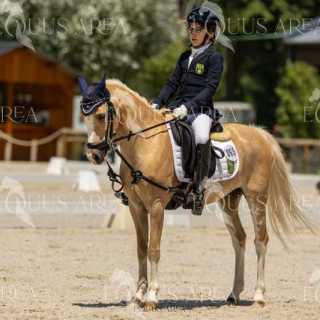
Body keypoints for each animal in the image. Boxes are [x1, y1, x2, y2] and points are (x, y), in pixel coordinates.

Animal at [80, 75, 312, 310]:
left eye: (101, 115)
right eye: (84, 116)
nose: (93, 155)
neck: (145, 143)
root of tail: (260, 134)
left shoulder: (156, 206)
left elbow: (154, 249)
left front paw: (152, 297)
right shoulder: (137, 208)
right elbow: (141, 250)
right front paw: (138, 296)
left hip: (256, 198)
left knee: (261, 240)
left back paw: (258, 296)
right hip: (229, 201)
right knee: (239, 238)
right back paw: (234, 294)